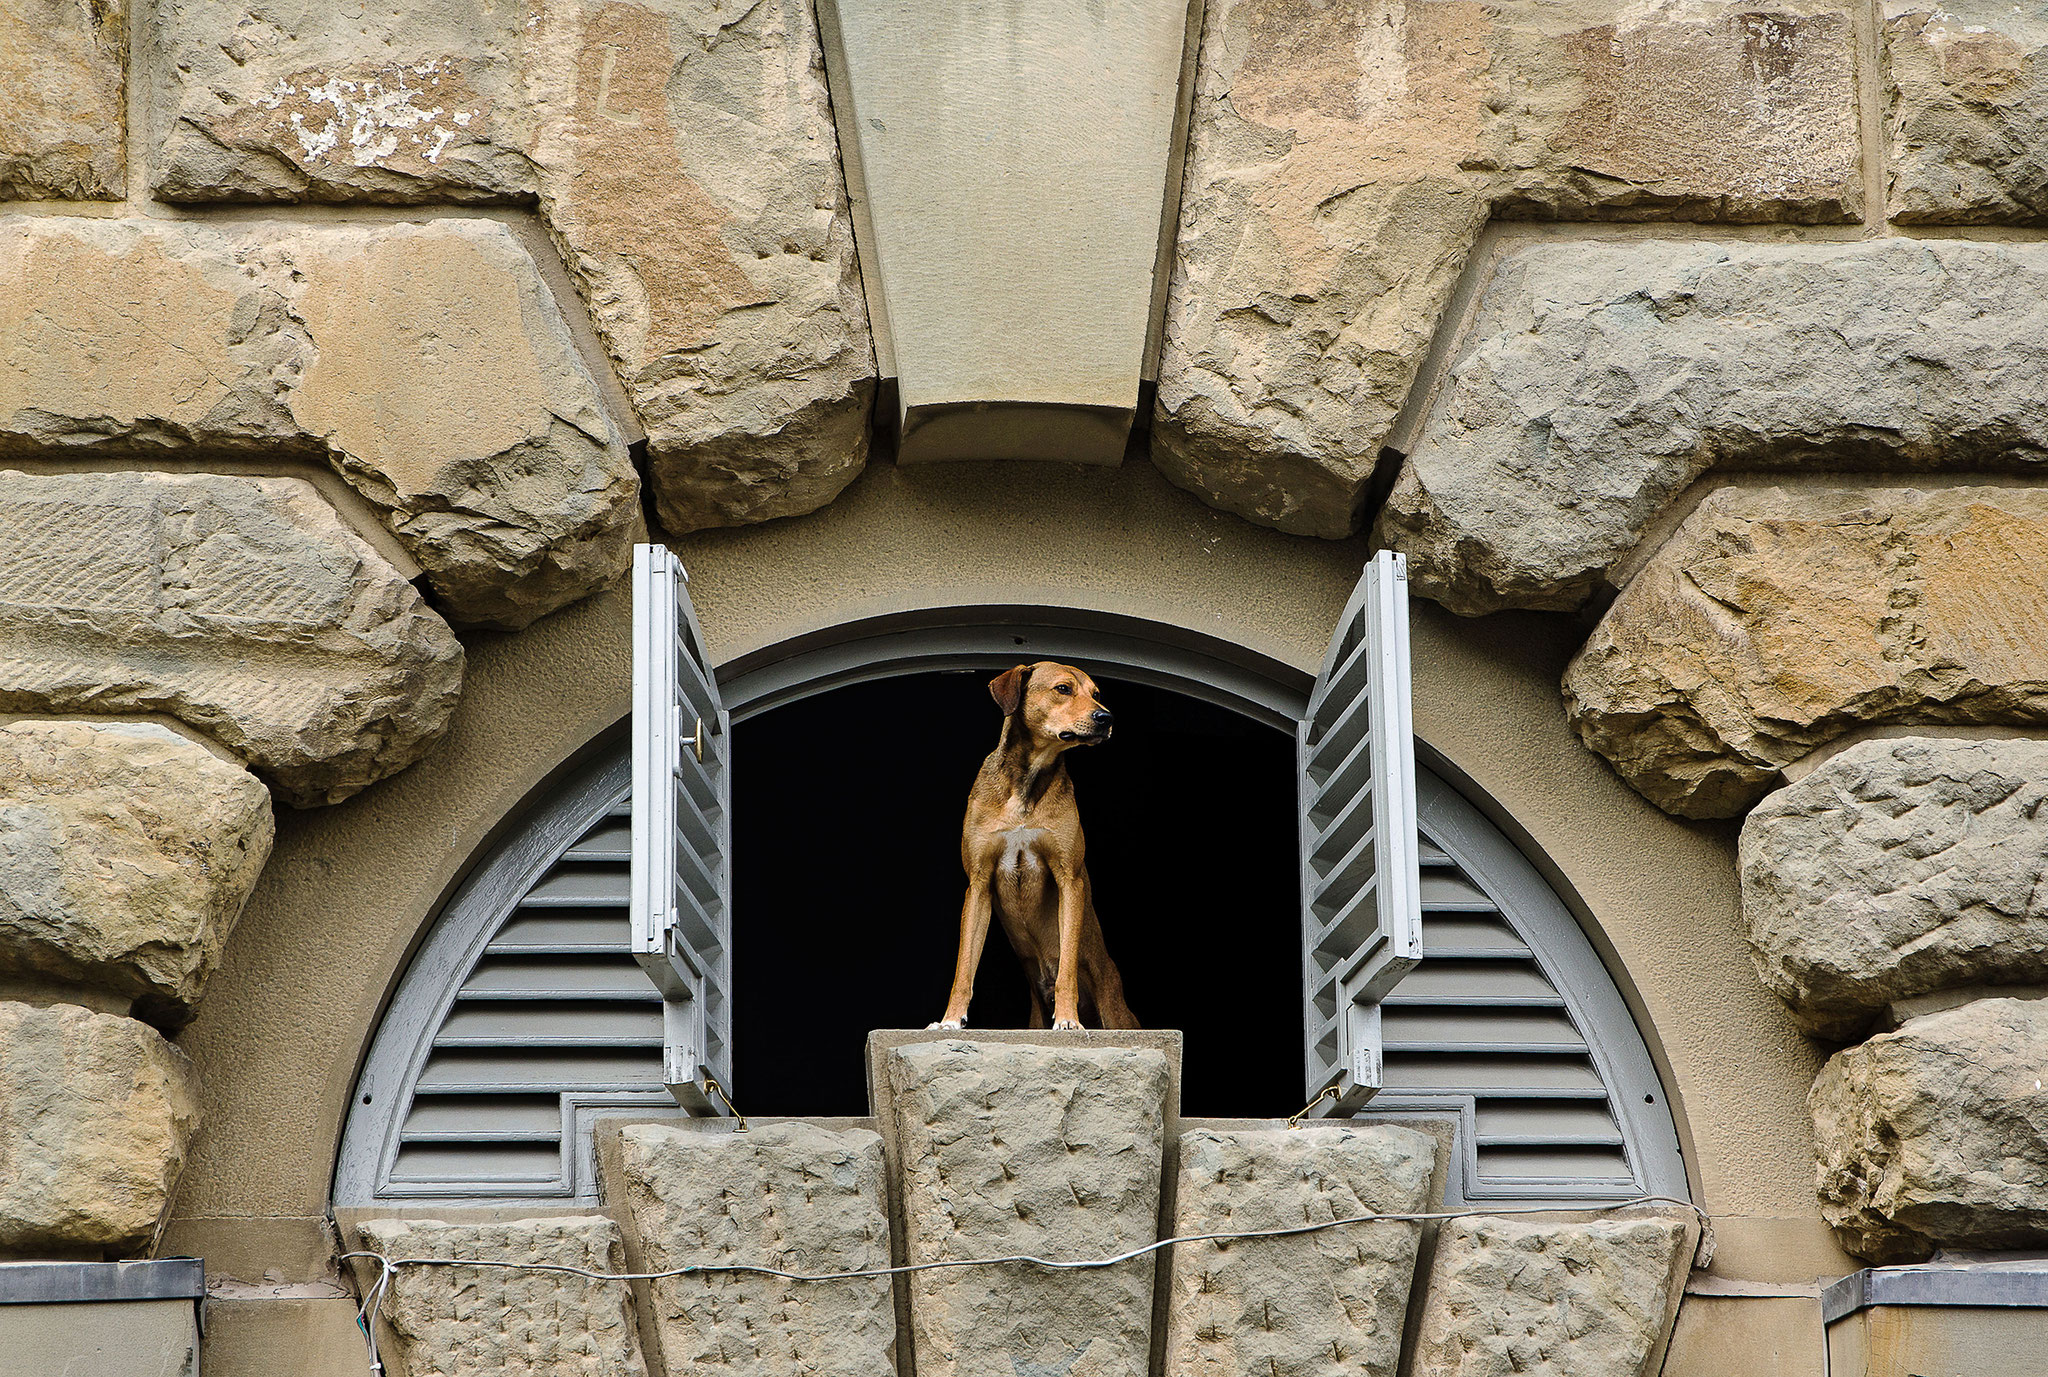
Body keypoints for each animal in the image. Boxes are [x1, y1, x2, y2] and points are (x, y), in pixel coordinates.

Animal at [929, 659, 1138, 1028]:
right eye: (1063, 689)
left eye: (1096, 693)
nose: (1106, 717)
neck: (1027, 781)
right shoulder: (978, 885)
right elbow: (964, 967)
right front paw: (950, 1020)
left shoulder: (1070, 880)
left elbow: (1067, 966)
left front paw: (1067, 1019)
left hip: (1115, 1012)